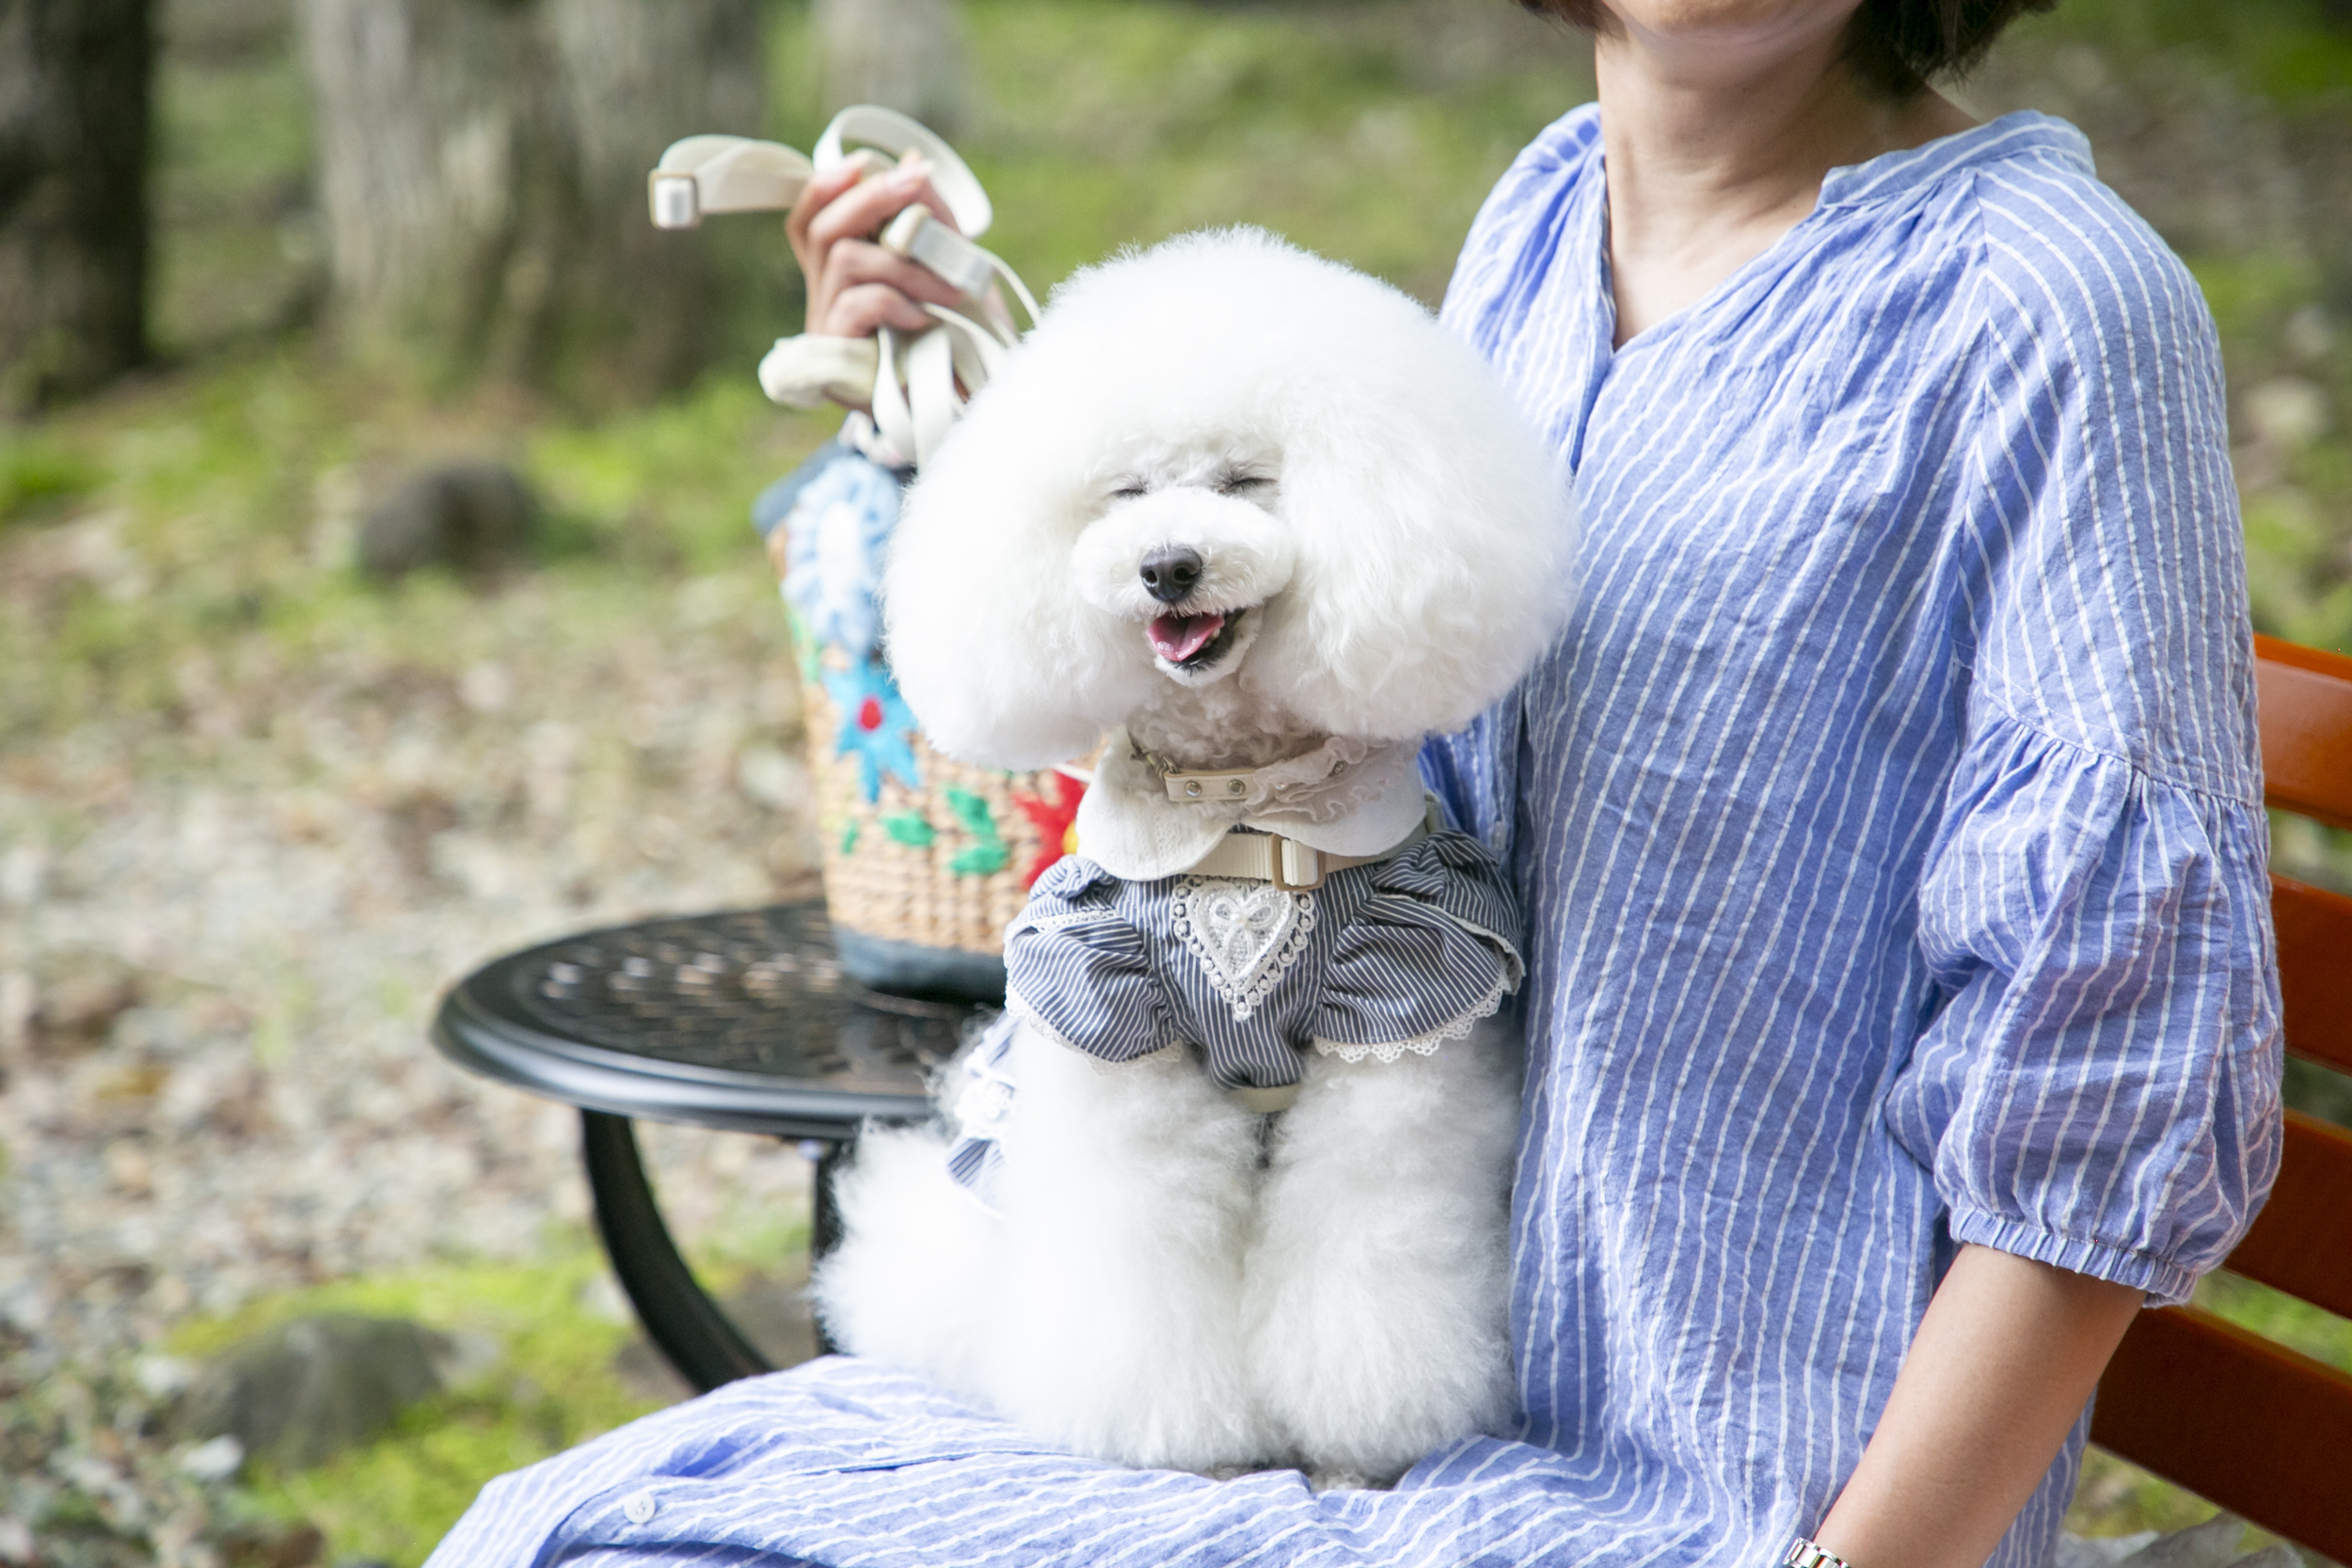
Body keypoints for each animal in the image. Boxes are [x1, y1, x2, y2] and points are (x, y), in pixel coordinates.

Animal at [814, 230, 1581, 1485]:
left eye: (1241, 481)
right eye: (1124, 495)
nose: (1167, 565)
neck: (1239, 819)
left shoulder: (1402, 1008)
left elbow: (1367, 1251)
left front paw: (1362, 1433)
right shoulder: (1112, 1021)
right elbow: (1142, 1266)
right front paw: (1172, 1431)